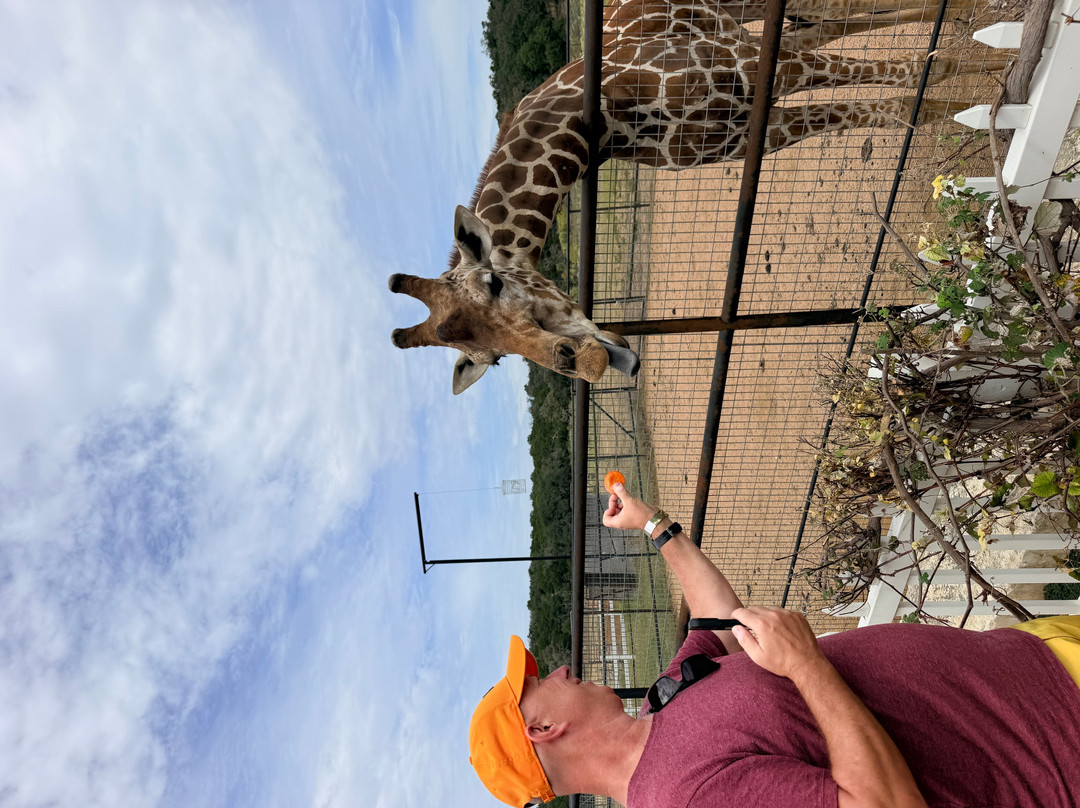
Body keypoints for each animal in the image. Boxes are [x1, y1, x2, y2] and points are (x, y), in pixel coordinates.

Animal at [390, 0, 1004, 394]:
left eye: (495, 283)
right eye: (491, 360)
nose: (583, 363)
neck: (600, 120)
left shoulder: (757, 68)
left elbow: (913, 79)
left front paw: (994, 87)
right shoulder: (752, 128)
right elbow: (883, 102)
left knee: (839, 11)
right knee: (828, 20)